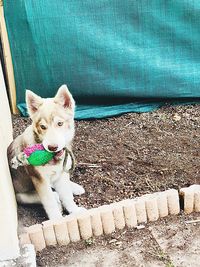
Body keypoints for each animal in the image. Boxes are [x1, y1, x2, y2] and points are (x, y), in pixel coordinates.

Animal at [7, 85, 85, 220]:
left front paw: (75, 211)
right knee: (53, 195)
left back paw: (74, 187)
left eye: (60, 123)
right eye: (43, 127)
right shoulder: (40, 180)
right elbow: (50, 202)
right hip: (21, 196)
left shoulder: (61, 173)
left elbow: (67, 196)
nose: (52, 147)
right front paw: (57, 220)